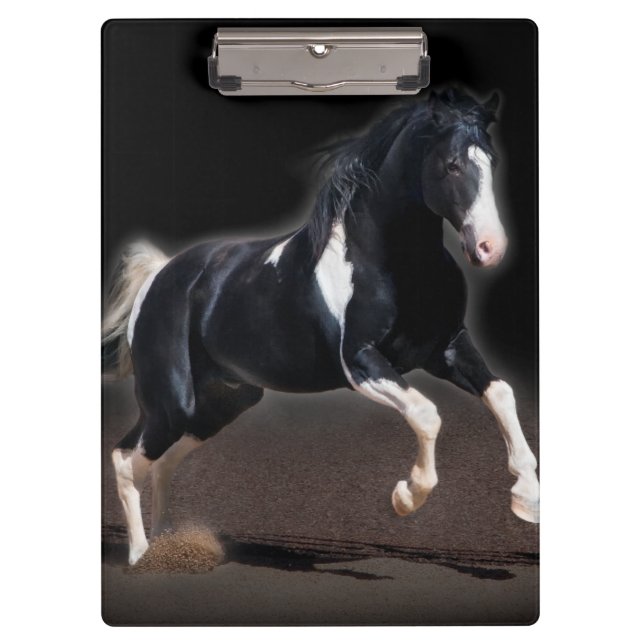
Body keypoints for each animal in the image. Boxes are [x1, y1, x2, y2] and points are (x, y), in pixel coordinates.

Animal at [102, 88, 540, 566]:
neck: (392, 263)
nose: (490, 249)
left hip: (223, 402)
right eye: (453, 164)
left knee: (161, 462)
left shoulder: (446, 348)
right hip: (171, 402)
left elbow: (501, 394)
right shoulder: (361, 363)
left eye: (492, 161)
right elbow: (426, 414)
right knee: (126, 459)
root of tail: (159, 275)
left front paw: (527, 500)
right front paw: (405, 497)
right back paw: (142, 556)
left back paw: (168, 547)